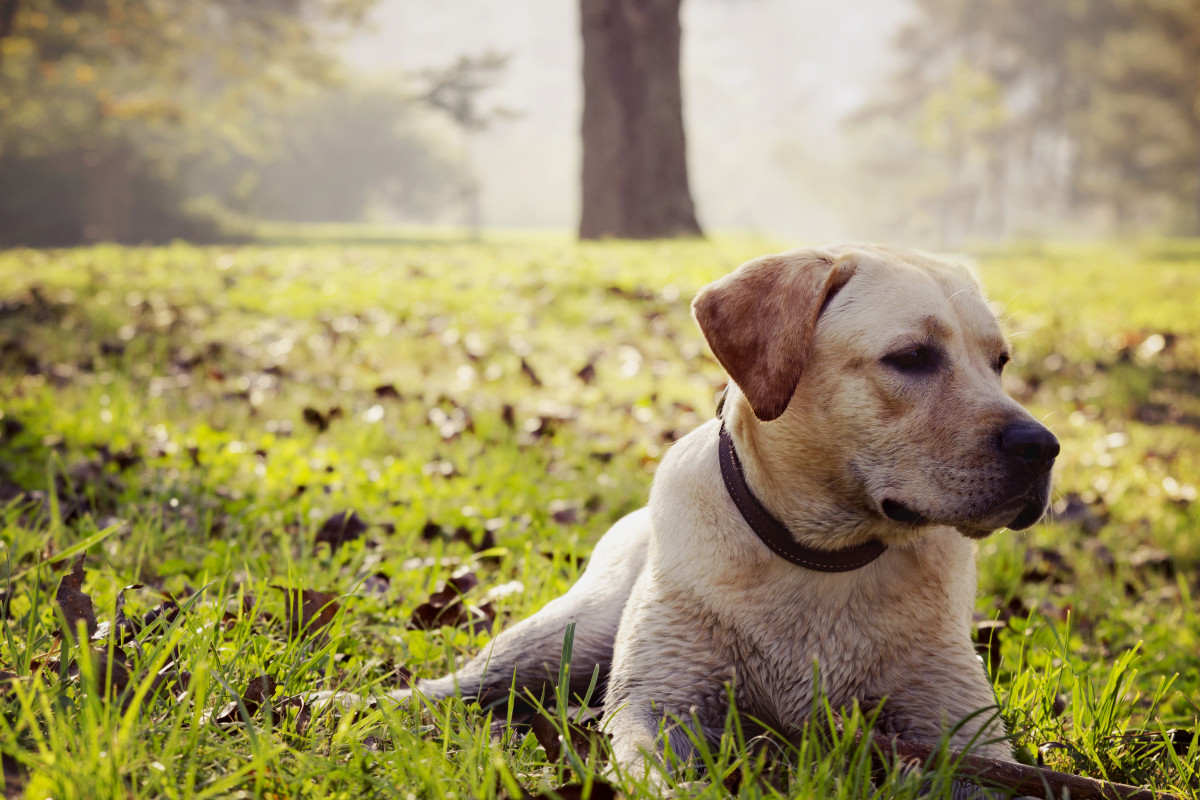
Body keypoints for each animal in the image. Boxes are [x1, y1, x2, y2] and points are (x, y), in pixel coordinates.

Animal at [391, 247, 1051, 786]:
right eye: (912, 357)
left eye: (1000, 362)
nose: (1043, 447)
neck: (821, 554)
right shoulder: (659, 702)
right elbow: (650, 770)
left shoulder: (960, 730)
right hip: (568, 634)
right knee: (469, 683)